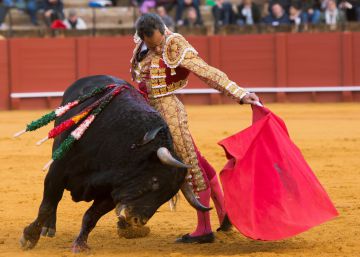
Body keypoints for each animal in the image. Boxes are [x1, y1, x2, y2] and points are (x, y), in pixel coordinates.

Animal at [19, 75, 210, 251]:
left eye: (167, 195)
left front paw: (80, 244)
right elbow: (47, 206)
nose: (137, 221)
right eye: (155, 181)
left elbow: (91, 216)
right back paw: (48, 227)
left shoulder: (112, 193)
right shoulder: (57, 172)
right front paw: (29, 237)